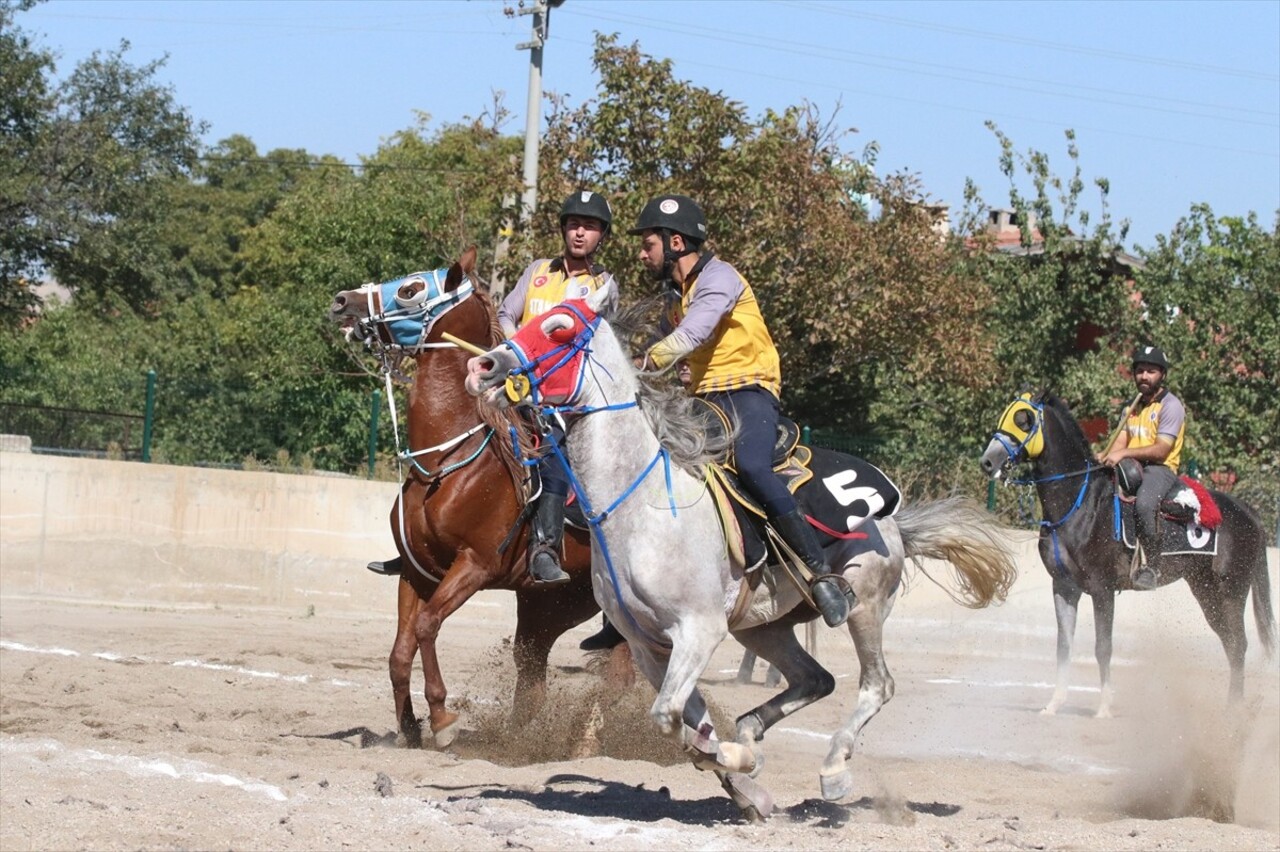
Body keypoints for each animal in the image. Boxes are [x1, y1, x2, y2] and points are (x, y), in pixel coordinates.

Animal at [327, 245, 601, 741]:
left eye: (412, 288)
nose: (342, 301)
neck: (443, 459)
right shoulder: (416, 572)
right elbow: (400, 650)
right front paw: (409, 727)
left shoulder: (474, 565)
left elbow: (427, 627)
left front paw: (441, 717)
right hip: (551, 603)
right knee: (533, 667)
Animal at [977, 388, 1269, 711]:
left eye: (1023, 419)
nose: (988, 462)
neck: (1079, 503)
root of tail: (1246, 511)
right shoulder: (1064, 587)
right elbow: (1063, 647)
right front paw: (1054, 703)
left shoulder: (1102, 589)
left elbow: (1103, 647)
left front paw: (1104, 707)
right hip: (1207, 592)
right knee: (1230, 644)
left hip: (1230, 592)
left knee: (1238, 644)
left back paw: (1234, 710)